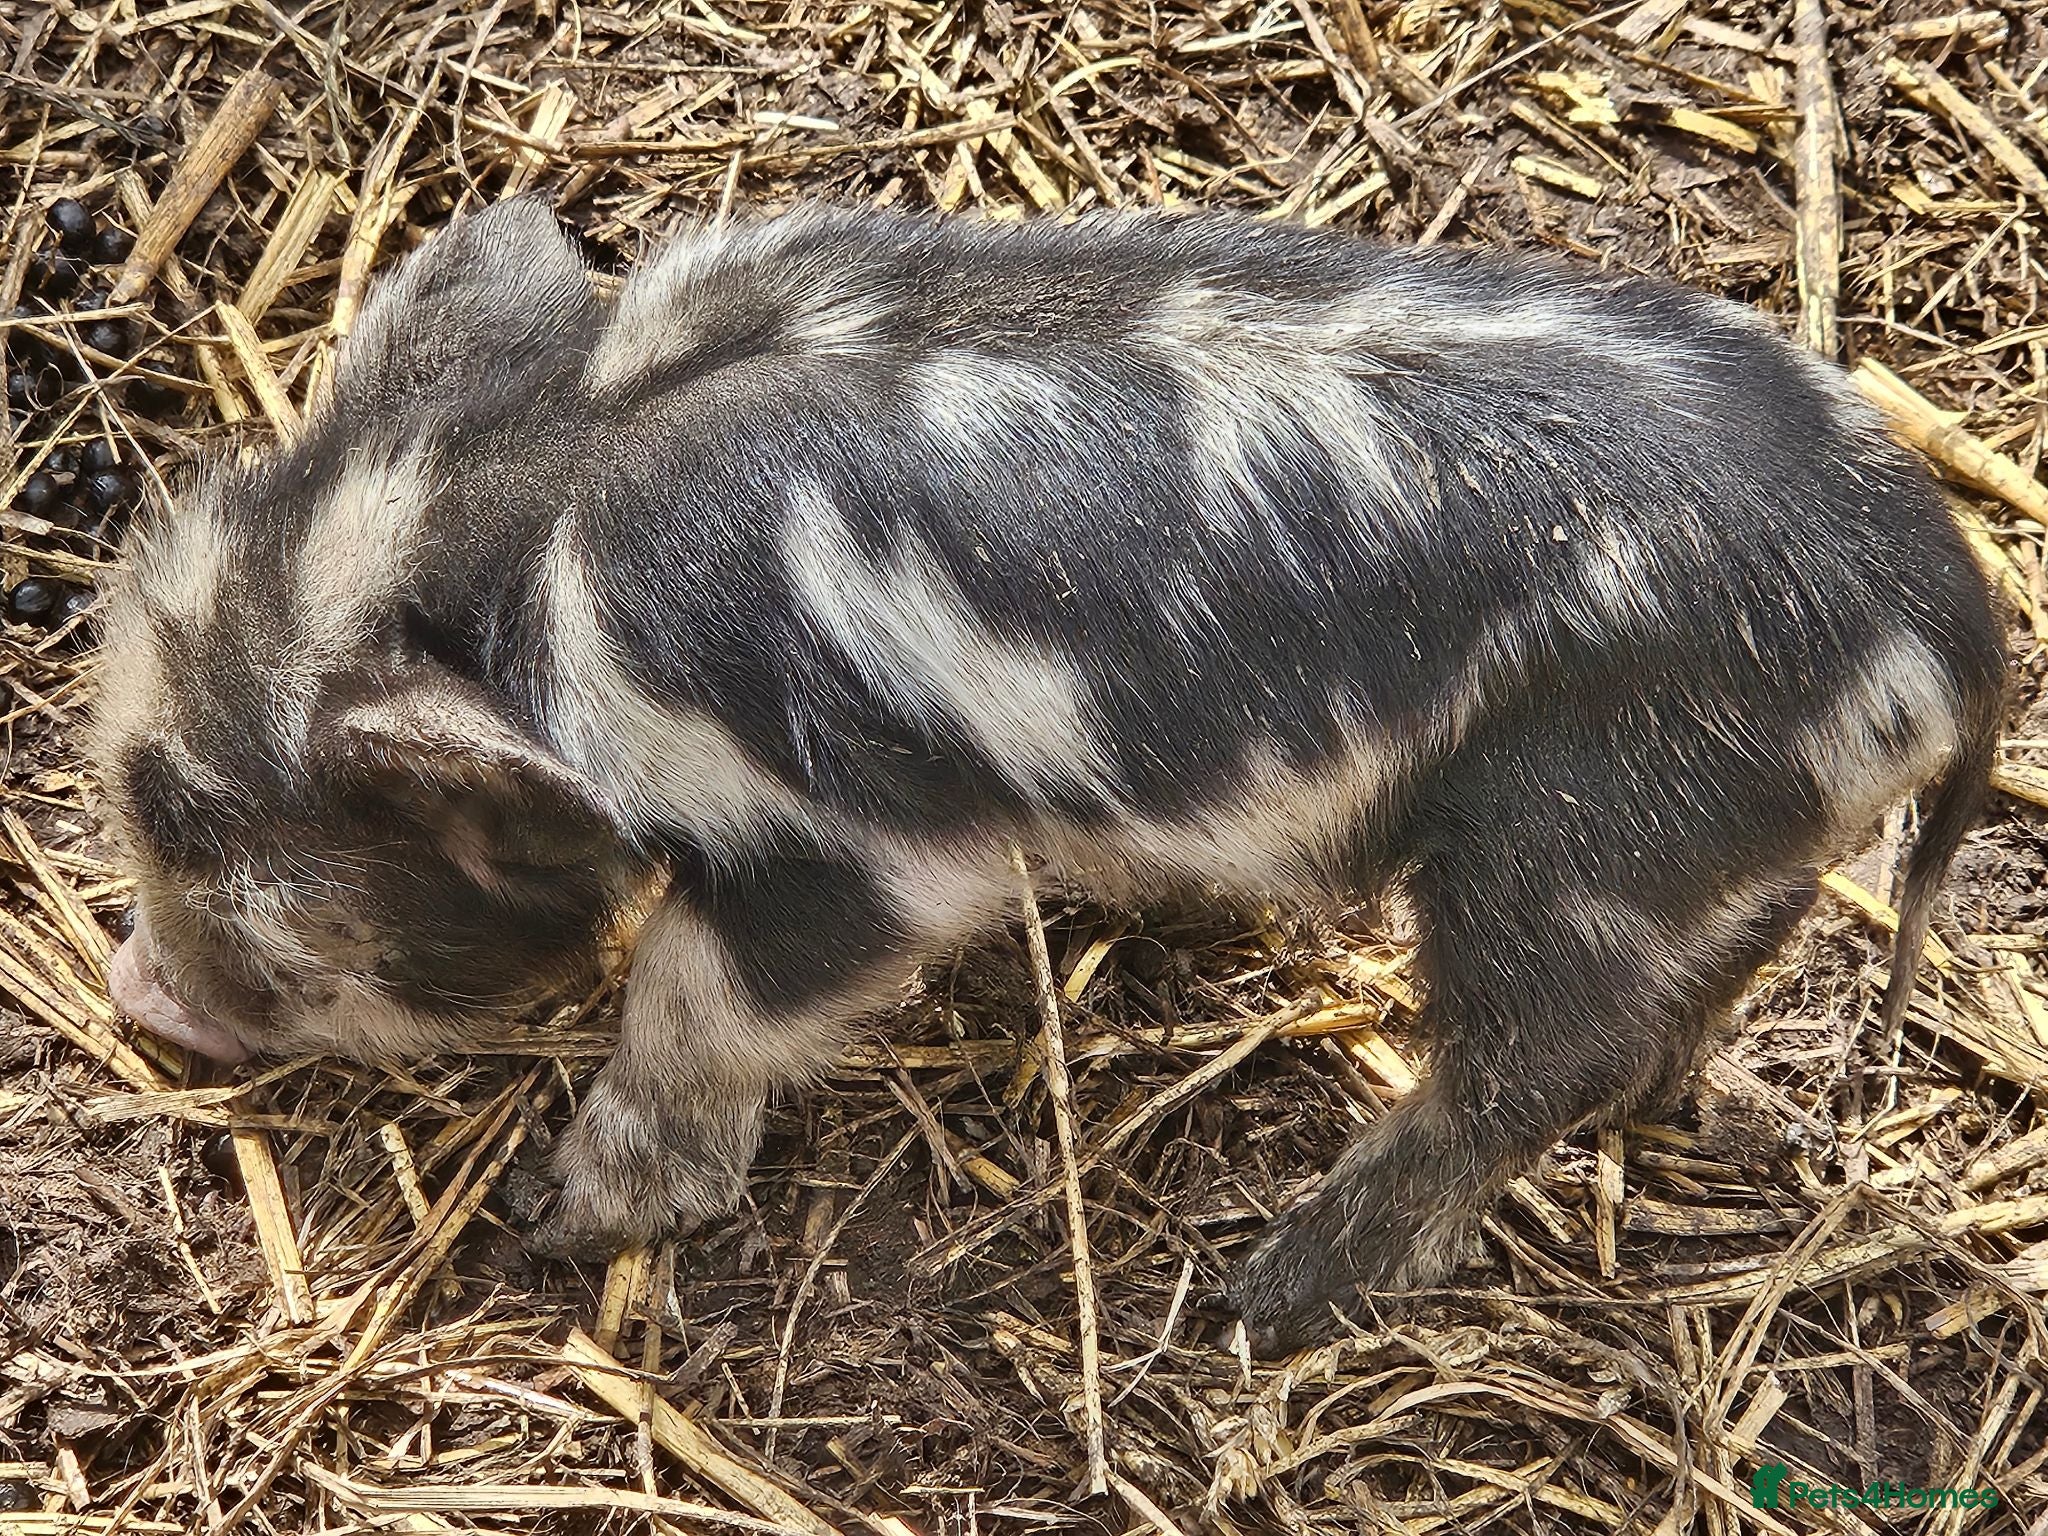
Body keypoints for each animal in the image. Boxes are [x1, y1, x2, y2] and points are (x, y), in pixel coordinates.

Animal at [92, 198, 2004, 1351]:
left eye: (205, 822)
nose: (135, 992)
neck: (528, 526)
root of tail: (1945, 611)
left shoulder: (857, 838)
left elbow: (701, 997)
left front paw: (569, 1218)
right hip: (1706, 837)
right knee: (1702, 980)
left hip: (1583, 835)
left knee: (1525, 1063)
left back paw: (1266, 1293)